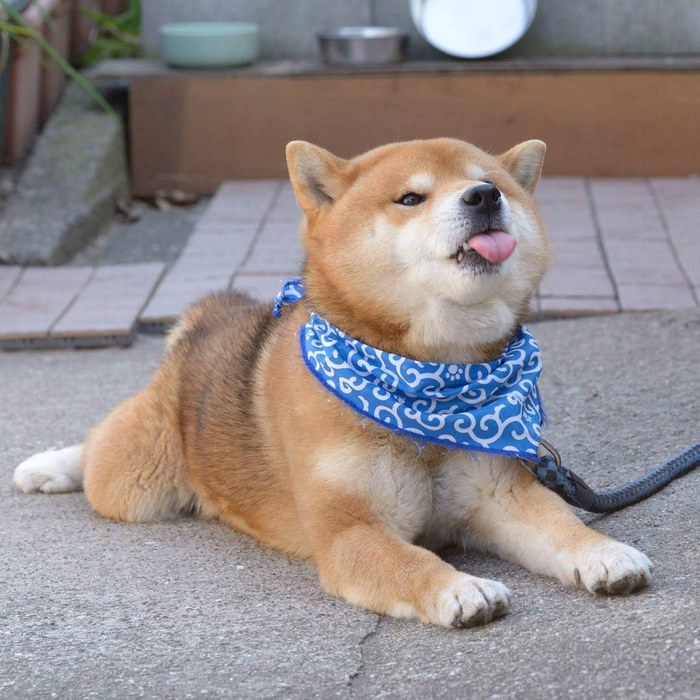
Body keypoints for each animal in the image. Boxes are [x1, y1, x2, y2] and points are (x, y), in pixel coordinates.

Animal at [15, 139, 652, 628]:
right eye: (411, 197)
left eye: (490, 183)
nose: (483, 197)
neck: (431, 382)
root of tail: (207, 322)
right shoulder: (350, 529)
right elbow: (410, 563)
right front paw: (459, 587)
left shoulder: (503, 495)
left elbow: (562, 525)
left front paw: (605, 553)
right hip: (135, 480)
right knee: (100, 449)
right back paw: (49, 466)